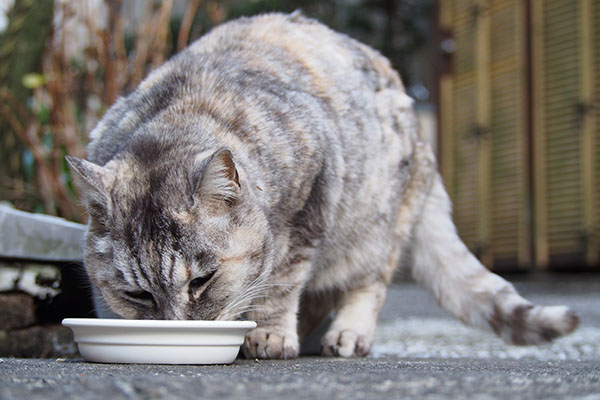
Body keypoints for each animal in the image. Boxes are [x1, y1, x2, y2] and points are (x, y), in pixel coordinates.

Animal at [68, 11, 580, 360]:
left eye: (202, 280)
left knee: (366, 282)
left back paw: (347, 334)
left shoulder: (308, 210)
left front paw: (269, 333)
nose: (175, 328)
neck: (182, 113)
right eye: (137, 295)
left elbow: (279, 284)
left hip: (374, 230)